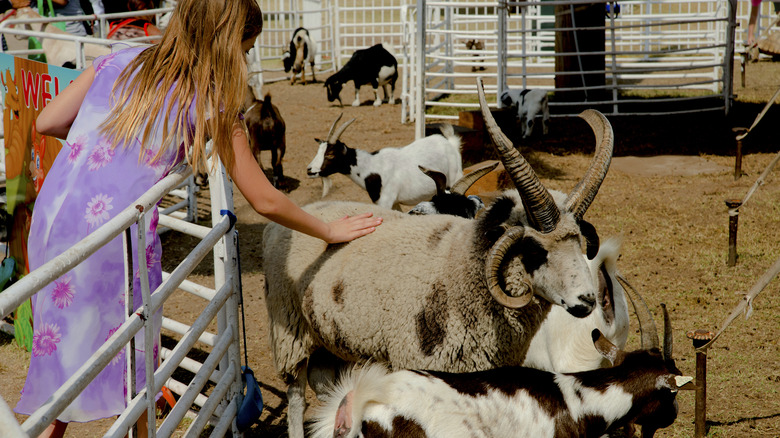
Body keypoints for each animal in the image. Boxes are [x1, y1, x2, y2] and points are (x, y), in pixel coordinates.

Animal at [304, 114, 464, 210]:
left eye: (330, 154)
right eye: (319, 150)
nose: (309, 170)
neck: (371, 167)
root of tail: (450, 143)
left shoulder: (385, 202)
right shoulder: (394, 203)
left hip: (455, 178)